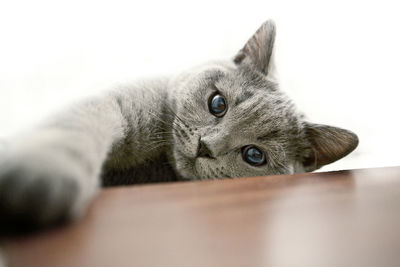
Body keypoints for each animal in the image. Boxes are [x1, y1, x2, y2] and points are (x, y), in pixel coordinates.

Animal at [0, 21, 356, 230]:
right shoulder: (112, 101)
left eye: (254, 155)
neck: (153, 165)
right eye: (217, 104)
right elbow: (73, 127)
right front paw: (42, 175)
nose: (206, 146)